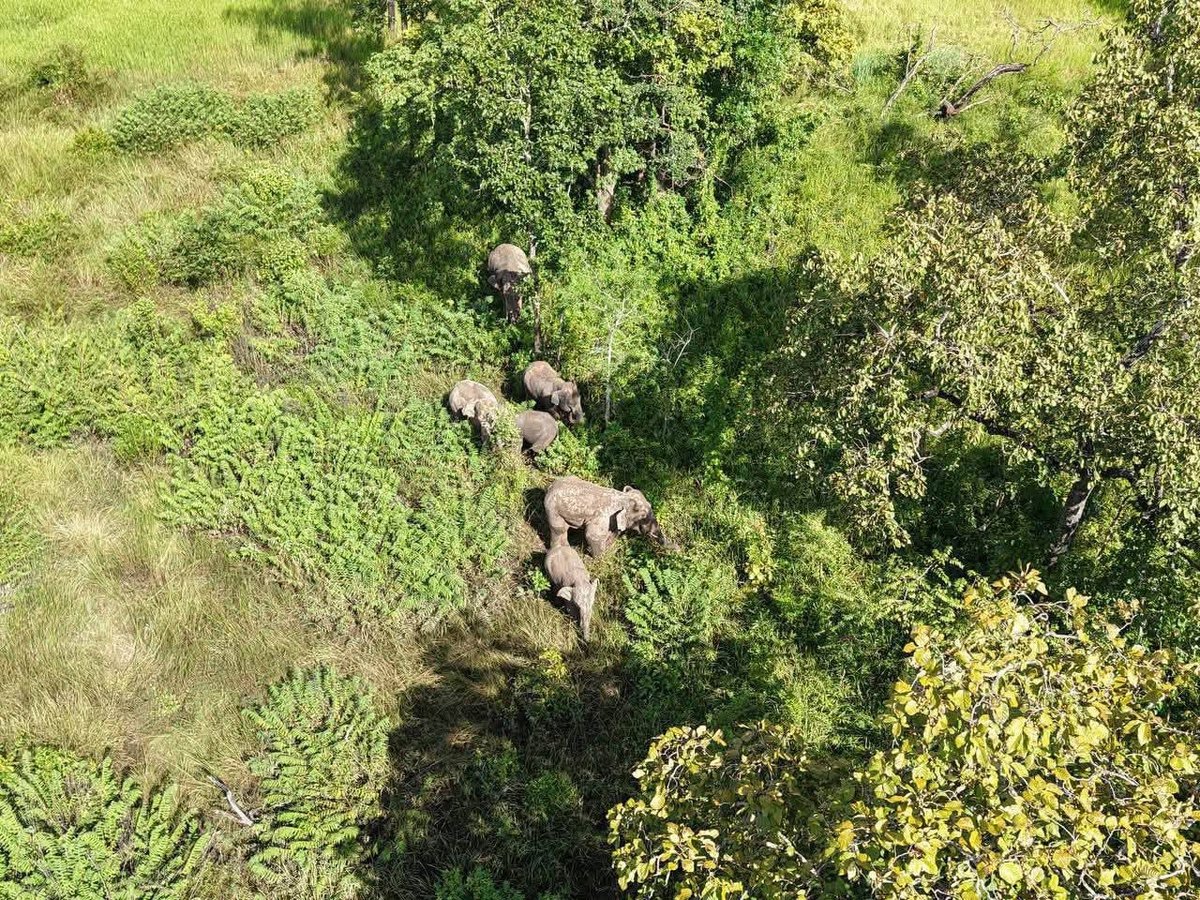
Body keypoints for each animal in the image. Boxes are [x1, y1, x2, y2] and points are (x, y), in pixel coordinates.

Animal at [543, 476, 672, 557]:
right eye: (643, 516)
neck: (624, 498)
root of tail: (550, 486)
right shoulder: (603, 518)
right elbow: (592, 535)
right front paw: (601, 559)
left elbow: (612, 534)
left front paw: (609, 551)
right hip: (552, 509)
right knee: (559, 530)